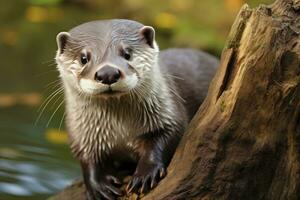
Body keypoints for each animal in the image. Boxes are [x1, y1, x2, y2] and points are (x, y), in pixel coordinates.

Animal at [54, 19, 218, 200]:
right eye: (83, 58)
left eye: (127, 53)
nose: (108, 73)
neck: (121, 130)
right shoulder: (82, 134)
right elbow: (87, 158)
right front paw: (99, 186)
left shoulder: (168, 114)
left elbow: (167, 137)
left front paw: (145, 174)